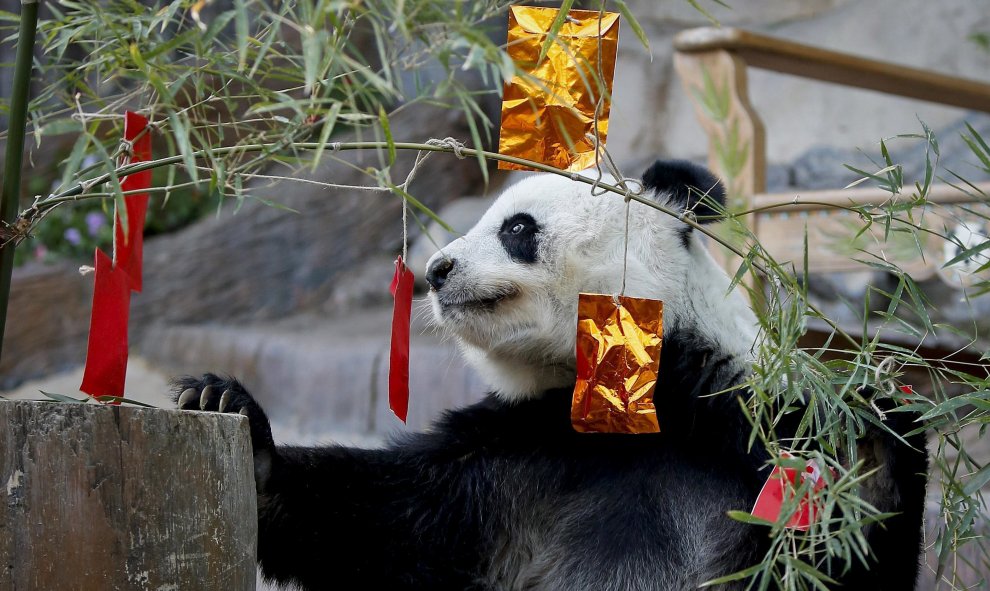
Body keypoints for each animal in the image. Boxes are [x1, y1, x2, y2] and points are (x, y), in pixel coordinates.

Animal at [174, 160, 928, 588]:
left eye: (515, 227)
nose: (437, 269)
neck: (628, 402)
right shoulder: (525, 450)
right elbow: (397, 521)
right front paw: (226, 406)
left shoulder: (748, 424)